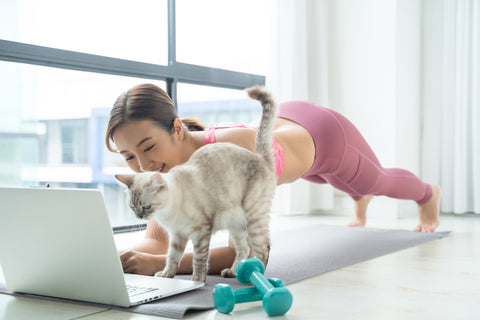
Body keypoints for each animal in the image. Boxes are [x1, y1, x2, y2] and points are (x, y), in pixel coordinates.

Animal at [114, 85, 276, 282]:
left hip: (253, 218)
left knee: (264, 248)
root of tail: (260, 158)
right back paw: (233, 272)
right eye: (132, 207)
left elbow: (199, 259)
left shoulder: (200, 232)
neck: (168, 213)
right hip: (236, 226)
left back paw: (257, 277)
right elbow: (172, 258)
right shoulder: (177, 236)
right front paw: (166, 275)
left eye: (146, 207)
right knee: (243, 249)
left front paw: (196, 280)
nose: (139, 217)